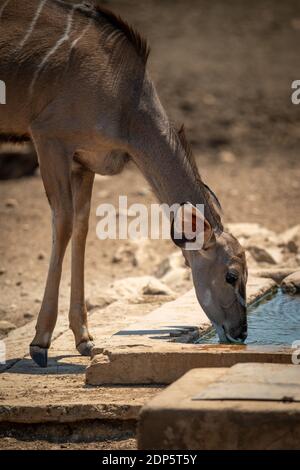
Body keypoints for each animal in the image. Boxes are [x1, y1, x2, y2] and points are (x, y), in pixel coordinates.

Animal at [0, 0, 247, 368]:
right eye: (231, 275)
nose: (241, 332)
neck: (124, 102)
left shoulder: (83, 162)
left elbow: (82, 228)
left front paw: (84, 339)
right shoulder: (48, 139)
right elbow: (63, 224)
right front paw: (40, 343)